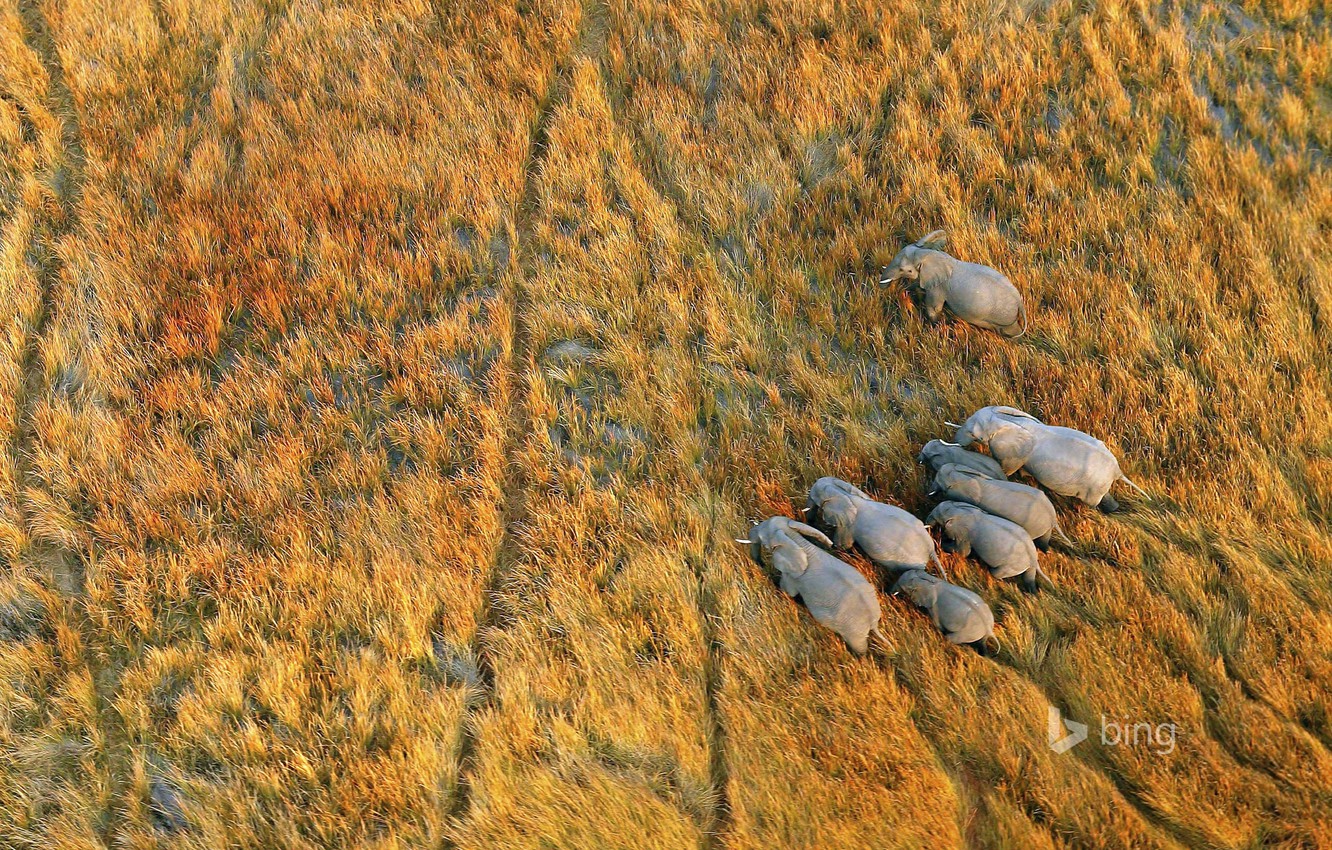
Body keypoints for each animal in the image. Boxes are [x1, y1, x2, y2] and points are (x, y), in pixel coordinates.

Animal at [740, 511, 884, 660]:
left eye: (763, 539)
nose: (761, 565)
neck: (795, 539)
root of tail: (873, 621)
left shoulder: (792, 577)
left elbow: (787, 590)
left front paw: (776, 585)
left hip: (853, 630)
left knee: (859, 647)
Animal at [799, 479, 948, 580]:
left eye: (817, 497)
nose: (811, 522)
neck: (844, 494)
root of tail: (930, 549)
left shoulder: (848, 526)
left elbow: (842, 545)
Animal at [884, 233, 1028, 343]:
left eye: (904, 270)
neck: (927, 253)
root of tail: (1020, 302)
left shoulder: (939, 287)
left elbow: (934, 308)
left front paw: (936, 327)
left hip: (1003, 317)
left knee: (1011, 330)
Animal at [953, 405, 1150, 511]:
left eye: (975, 435)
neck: (1006, 420)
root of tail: (1117, 471)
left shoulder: (1011, 454)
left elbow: (1007, 469)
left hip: (1093, 487)